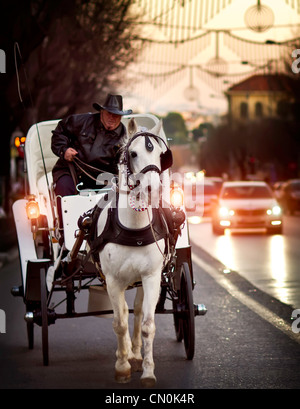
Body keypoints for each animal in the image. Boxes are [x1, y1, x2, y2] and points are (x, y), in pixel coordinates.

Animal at [95, 115, 172, 386]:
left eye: (161, 154)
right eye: (133, 153)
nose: (153, 189)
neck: (134, 228)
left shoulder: (151, 276)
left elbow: (147, 323)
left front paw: (148, 370)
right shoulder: (113, 280)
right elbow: (119, 323)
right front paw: (122, 367)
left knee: (137, 312)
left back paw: (136, 354)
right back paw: (127, 353)